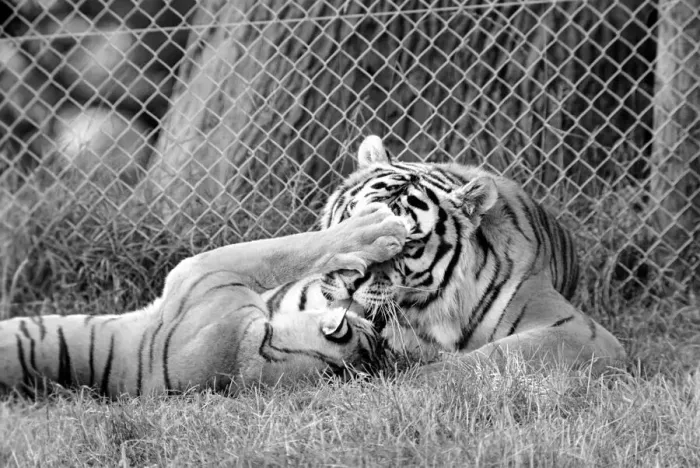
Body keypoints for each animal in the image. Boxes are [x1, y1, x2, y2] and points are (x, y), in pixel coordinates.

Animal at [0, 203, 408, 398]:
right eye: (372, 327)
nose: (378, 315)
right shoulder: (205, 268)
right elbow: (289, 249)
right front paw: (376, 230)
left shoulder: (203, 271)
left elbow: (288, 251)